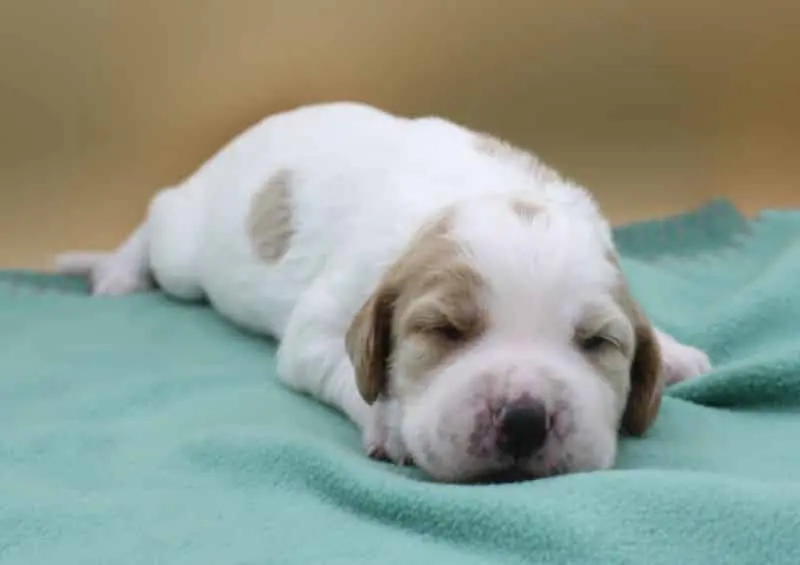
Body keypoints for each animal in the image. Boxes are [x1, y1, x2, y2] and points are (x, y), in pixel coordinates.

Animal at [57, 102, 711, 482]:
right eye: (444, 330)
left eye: (597, 342)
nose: (525, 420)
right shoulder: (315, 331)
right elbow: (345, 372)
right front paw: (391, 425)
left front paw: (676, 353)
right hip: (184, 253)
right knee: (156, 215)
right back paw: (116, 271)